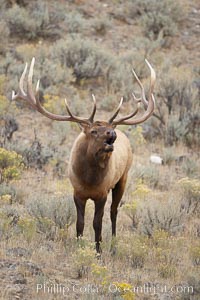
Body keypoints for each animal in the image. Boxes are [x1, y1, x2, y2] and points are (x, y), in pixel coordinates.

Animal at [12, 57, 156, 252]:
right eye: (94, 131)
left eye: (108, 129)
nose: (112, 134)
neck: (89, 180)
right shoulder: (77, 192)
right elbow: (79, 223)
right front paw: (79, 247)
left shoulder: (102, 193)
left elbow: (97, 223)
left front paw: (98, 251)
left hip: (123, 178)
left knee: (114, 211)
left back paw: (113, 245)